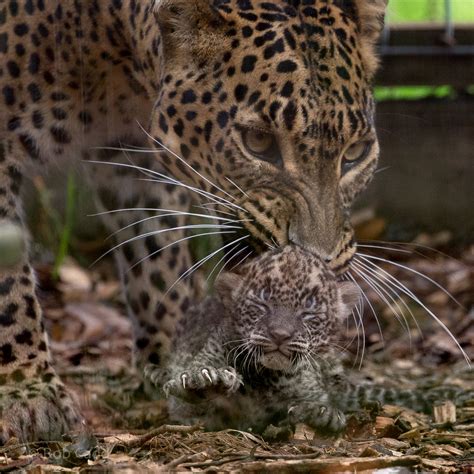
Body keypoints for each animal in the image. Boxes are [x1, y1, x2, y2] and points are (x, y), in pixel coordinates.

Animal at [0, 0, 386, 442]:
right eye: (258, 142)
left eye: (355, 153)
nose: (317, 261)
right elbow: (9, 283)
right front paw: (26, 390)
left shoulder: (134, 159)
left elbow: (156, 256)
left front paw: (178, 355)